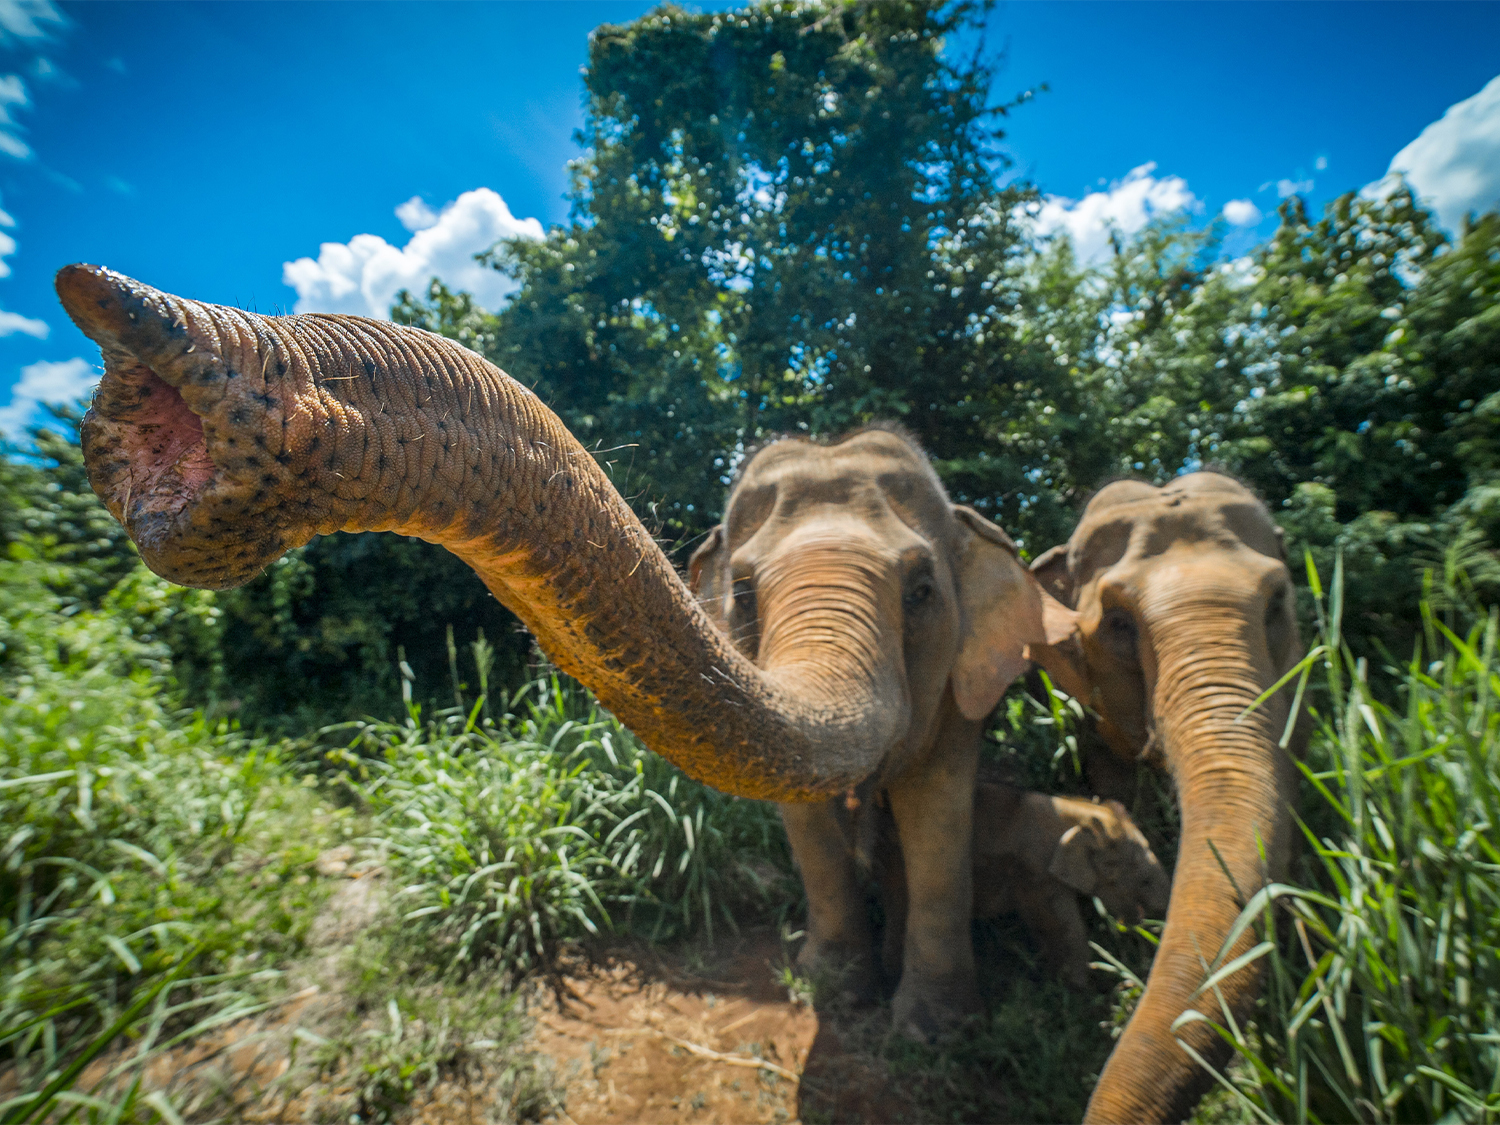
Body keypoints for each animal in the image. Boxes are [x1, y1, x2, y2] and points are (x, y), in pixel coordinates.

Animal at [56, 264, 1076, 1038]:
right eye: (743, 594)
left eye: (923, 591)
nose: (151, 387)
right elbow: (805, 817)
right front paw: (831, 989)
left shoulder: (962, 688)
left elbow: (938, 807)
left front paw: (936, 1033)